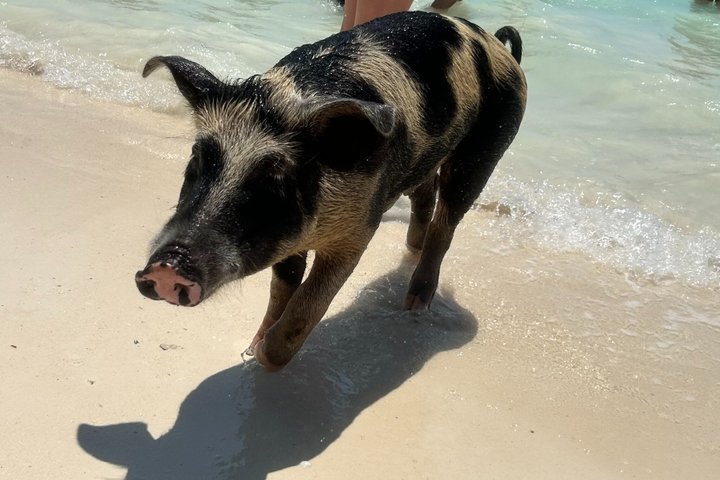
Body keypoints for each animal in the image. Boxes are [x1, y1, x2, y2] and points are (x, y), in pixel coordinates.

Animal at [135, 11, 526, 371]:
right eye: (197, 159)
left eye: (277, 177)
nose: (169, 264)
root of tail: (497, 45)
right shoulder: (289, 241)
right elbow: (283, 288)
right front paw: (252, 345)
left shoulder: (359, 229)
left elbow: (310, 303)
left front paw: (261, 356)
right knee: (424, 194)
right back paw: (411, 252)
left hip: (487, 148)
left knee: (447, 222)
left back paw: (415, 304)